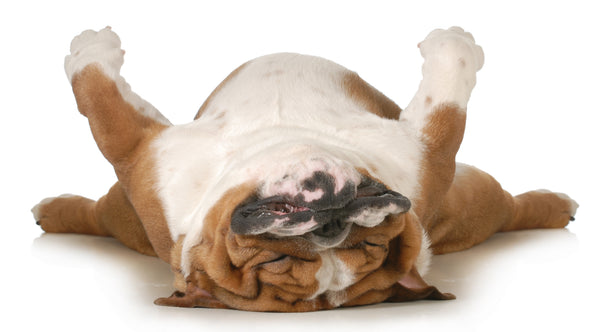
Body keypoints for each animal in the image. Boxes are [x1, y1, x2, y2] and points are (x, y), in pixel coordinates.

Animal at [31, 26, 576, 312]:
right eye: (272, 259)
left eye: (372, 246)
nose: (332, 223)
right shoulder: (141, 161)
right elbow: (103, 108)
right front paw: (90, 48)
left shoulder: (425, 158)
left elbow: (446, 112)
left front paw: (453, 48)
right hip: (122, 211)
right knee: (94, 215)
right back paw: (52, 210)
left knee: (512, 209)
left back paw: (556, 204)